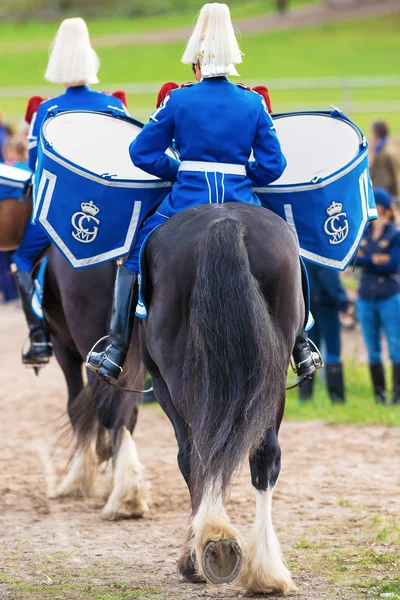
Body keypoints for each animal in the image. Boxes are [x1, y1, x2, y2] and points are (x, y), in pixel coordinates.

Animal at [123, 203, 302, 596]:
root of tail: (225, 222)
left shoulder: (162, 386)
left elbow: (189, 459)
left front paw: (194, 555)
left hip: (176, 378)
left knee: (200, 451)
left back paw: (215, 545)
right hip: (272, 376)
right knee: (265, 454)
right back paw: (264, 571)